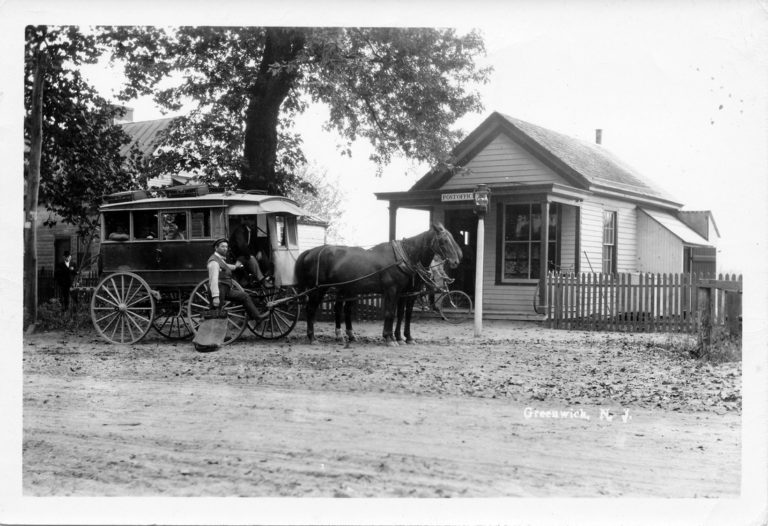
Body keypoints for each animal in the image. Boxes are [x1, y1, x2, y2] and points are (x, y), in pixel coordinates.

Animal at [294, 225, 462, 348]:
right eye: (444, 240)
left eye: (452, 238)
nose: (455, 261)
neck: (404, 257)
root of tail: (312, 251)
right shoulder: (392, 291)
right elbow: (390, 313)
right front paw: (389, 338)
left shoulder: (405, 293)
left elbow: (402, 314)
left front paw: (403, 337)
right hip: (319, 290)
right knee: (311, 309)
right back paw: (312, 337)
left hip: (345, 289)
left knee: (342, 310)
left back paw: (345, 335)